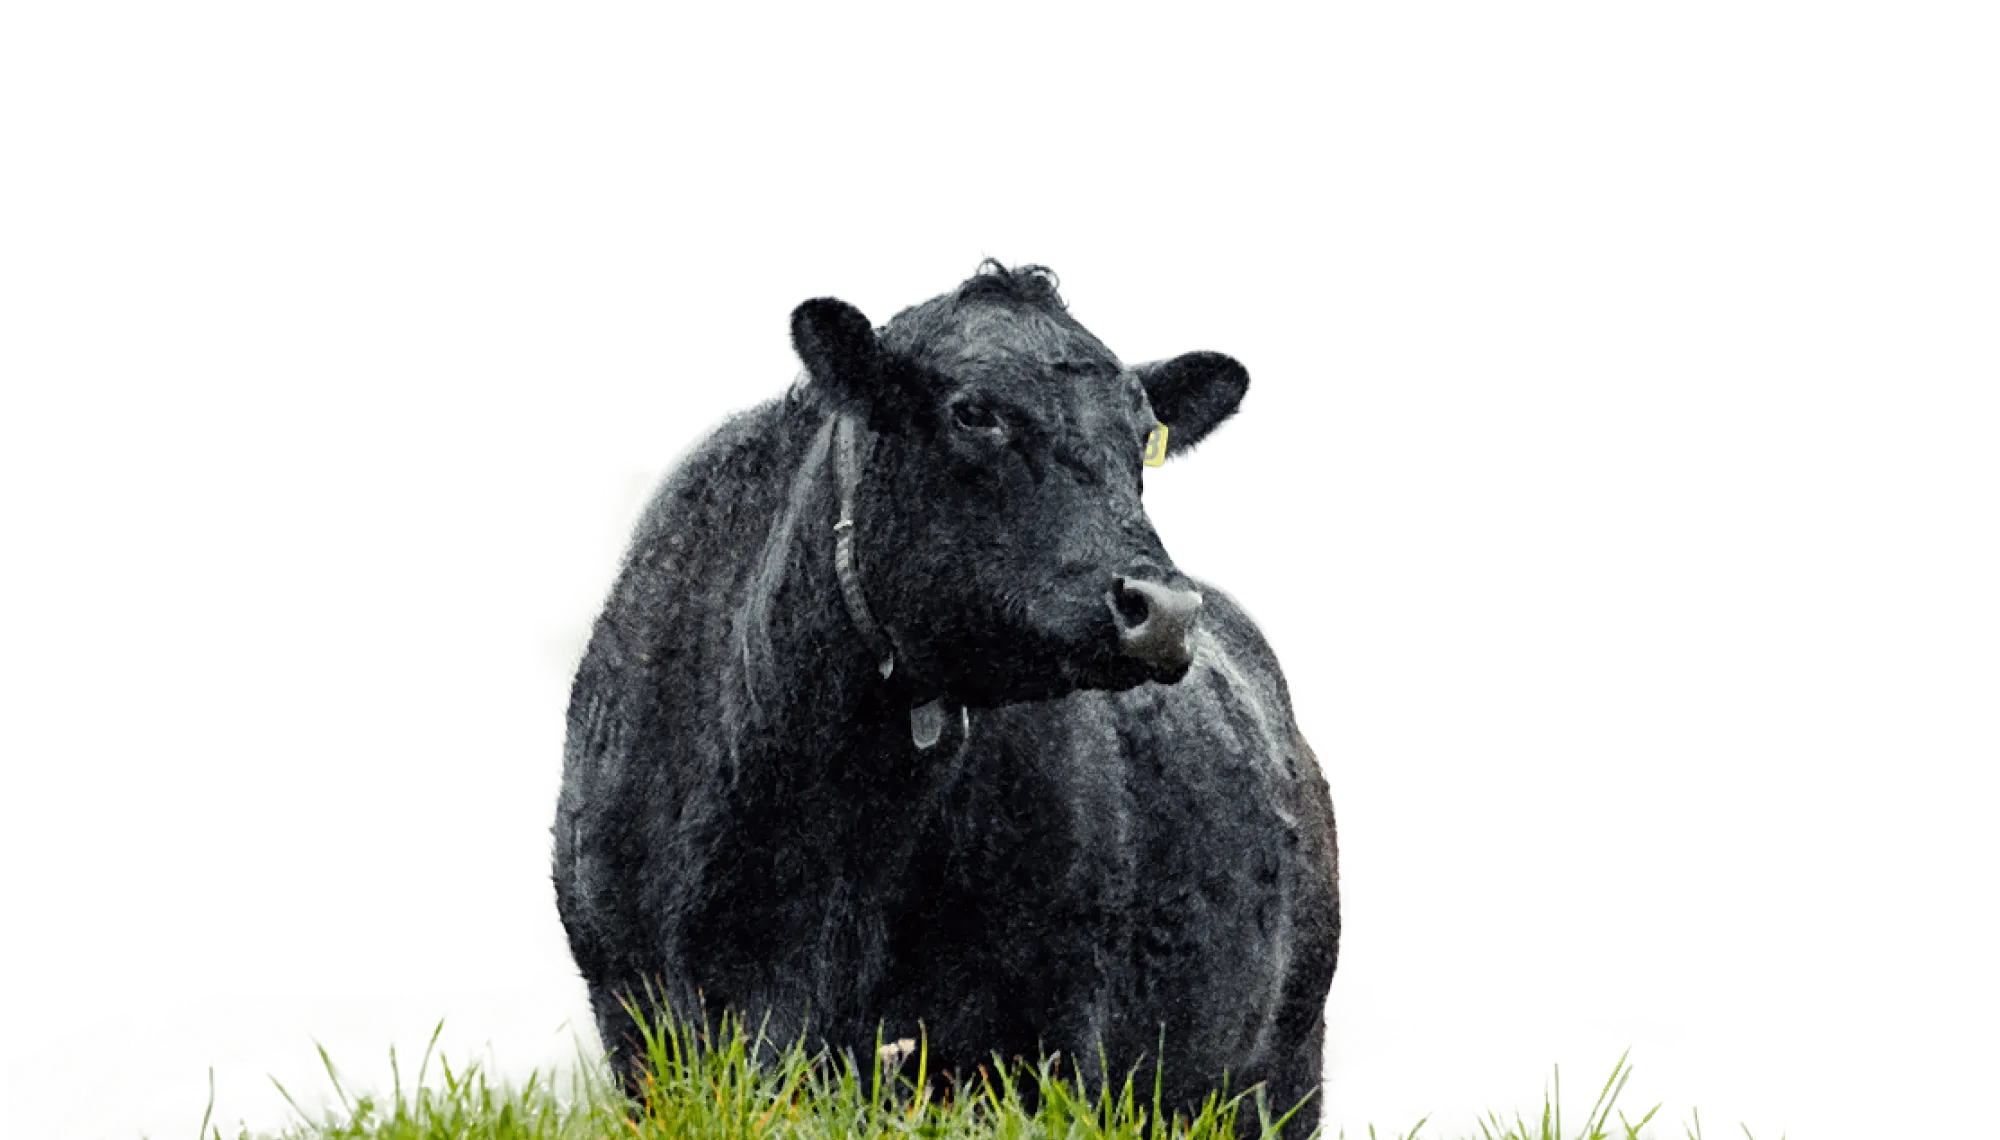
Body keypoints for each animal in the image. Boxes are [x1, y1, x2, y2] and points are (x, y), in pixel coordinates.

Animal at [549, 255, 1341, 1138]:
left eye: (1142, 435)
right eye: (973, 412)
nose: (1165, 610)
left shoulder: (1039, 1046)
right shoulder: (640, 1023)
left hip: (1276, 1076)